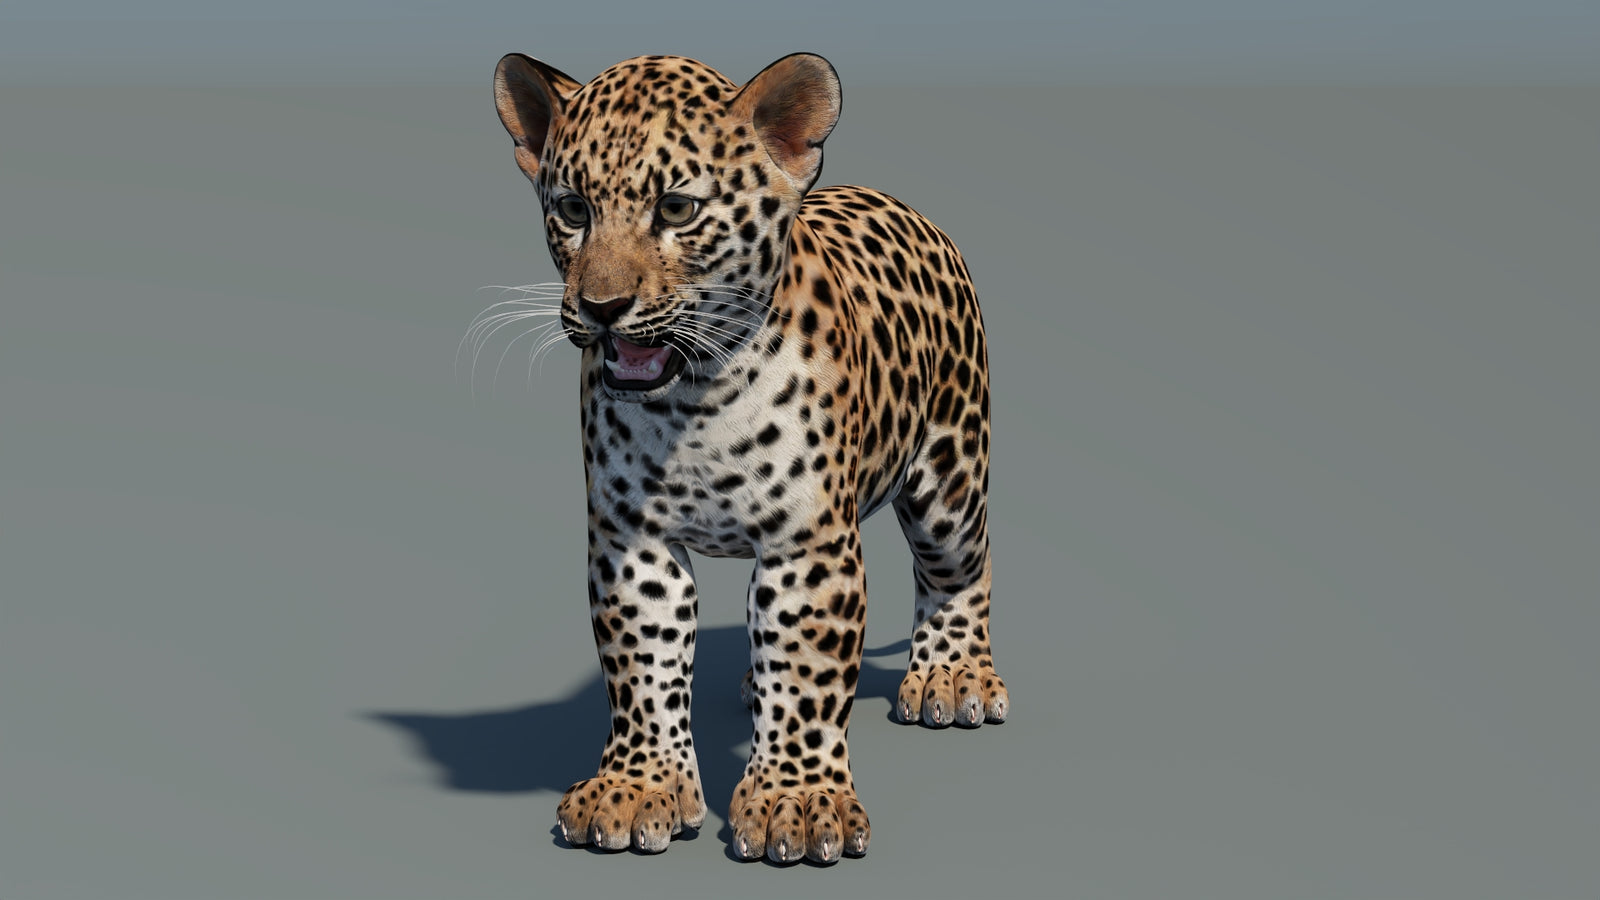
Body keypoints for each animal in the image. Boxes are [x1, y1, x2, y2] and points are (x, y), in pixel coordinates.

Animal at [488, 51, 1008, 864]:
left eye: (676, 210)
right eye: (573, 209)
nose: (602, 308)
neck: (695, 402)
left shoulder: (808, 542)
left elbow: (805, 667)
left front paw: (795, 801)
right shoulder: (632, 539)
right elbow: (642, 662)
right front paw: (637, 786)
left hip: (949, 475)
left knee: (959, 569)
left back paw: (954, 677)